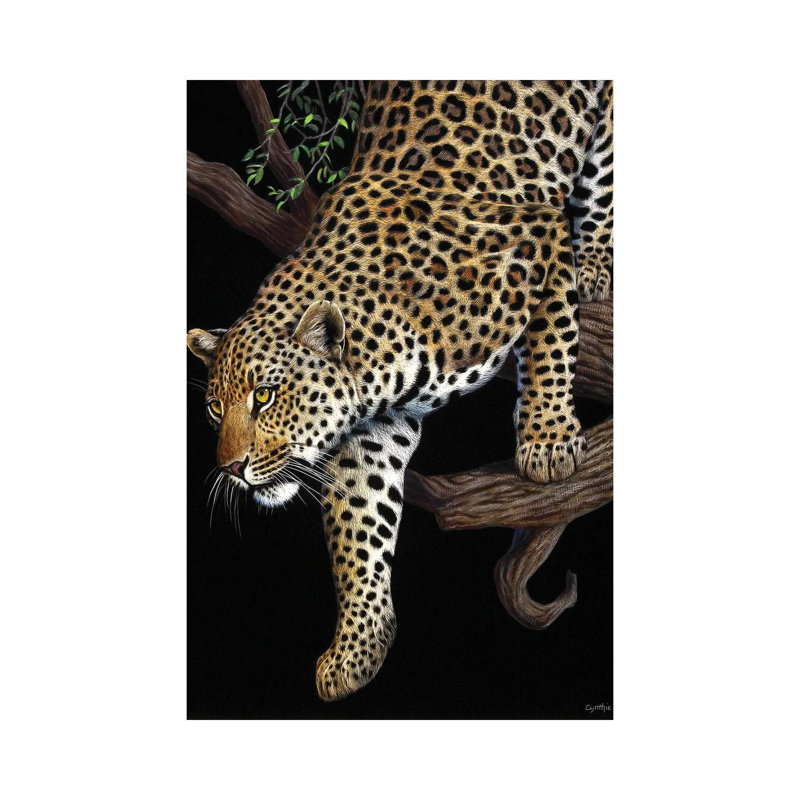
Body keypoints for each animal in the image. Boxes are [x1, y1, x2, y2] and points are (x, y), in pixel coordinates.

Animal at [188, 80, 613, 701]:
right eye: (216, 408)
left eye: (264, 396)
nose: (231, 468)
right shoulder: (373, 433)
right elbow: (358, 531)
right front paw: (357, 648)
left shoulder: (539, 235)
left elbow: (551, 334)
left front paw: (548, 438)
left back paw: (598, 264)